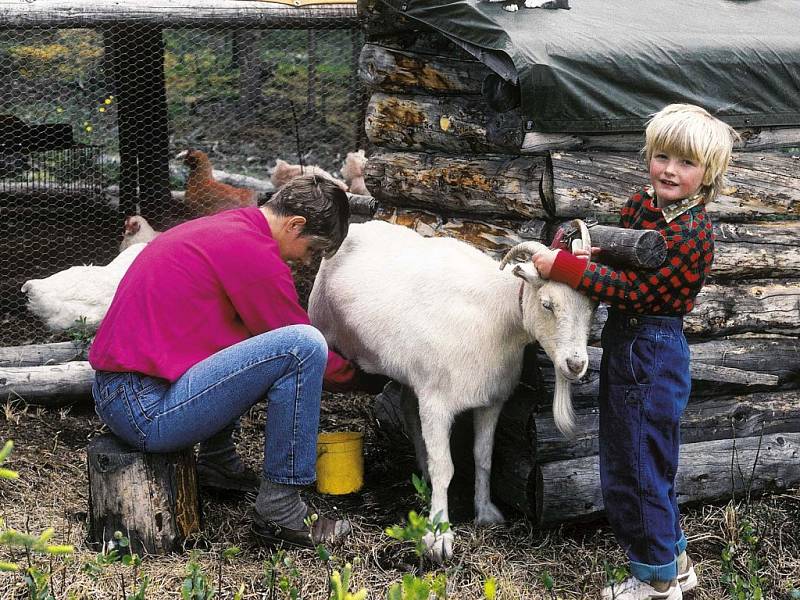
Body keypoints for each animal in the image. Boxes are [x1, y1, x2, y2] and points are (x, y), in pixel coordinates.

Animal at [310, 221, 596, 564]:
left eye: (592, 308)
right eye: (547, 304)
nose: (576, 364)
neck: (496, 314)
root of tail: (355, 226)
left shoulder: (491, 401)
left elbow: (483, 457)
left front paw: (485, 512)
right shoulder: (437, 403)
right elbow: (445, 467)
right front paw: (438, 536)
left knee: (409, 410)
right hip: (319, 324)